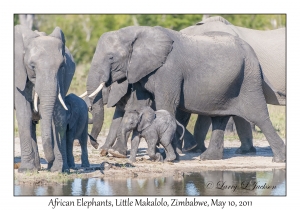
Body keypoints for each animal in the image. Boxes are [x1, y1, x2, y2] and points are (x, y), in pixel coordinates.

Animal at [14, 25, 75, 172]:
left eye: (62, 66)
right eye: (32, 66)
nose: (49, 161)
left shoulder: (61, 78)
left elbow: (58, 115)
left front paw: (58, 169)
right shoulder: (17, 73)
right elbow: (24, 113)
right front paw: (26, 170)